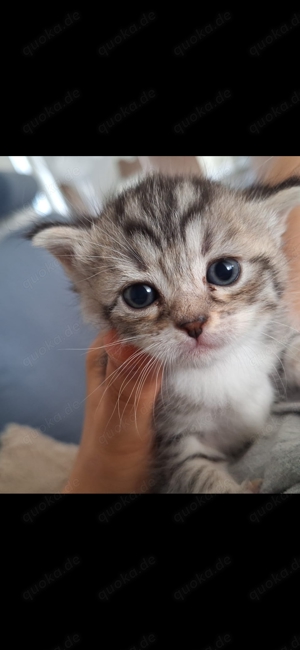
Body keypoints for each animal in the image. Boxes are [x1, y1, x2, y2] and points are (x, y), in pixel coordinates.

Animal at [27, 172, 300, 492]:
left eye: (224, 271)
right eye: (139, 295)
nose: (193, 323)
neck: (215, 372)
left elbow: (290, 346)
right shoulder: (170, 442)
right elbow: (200, 475)